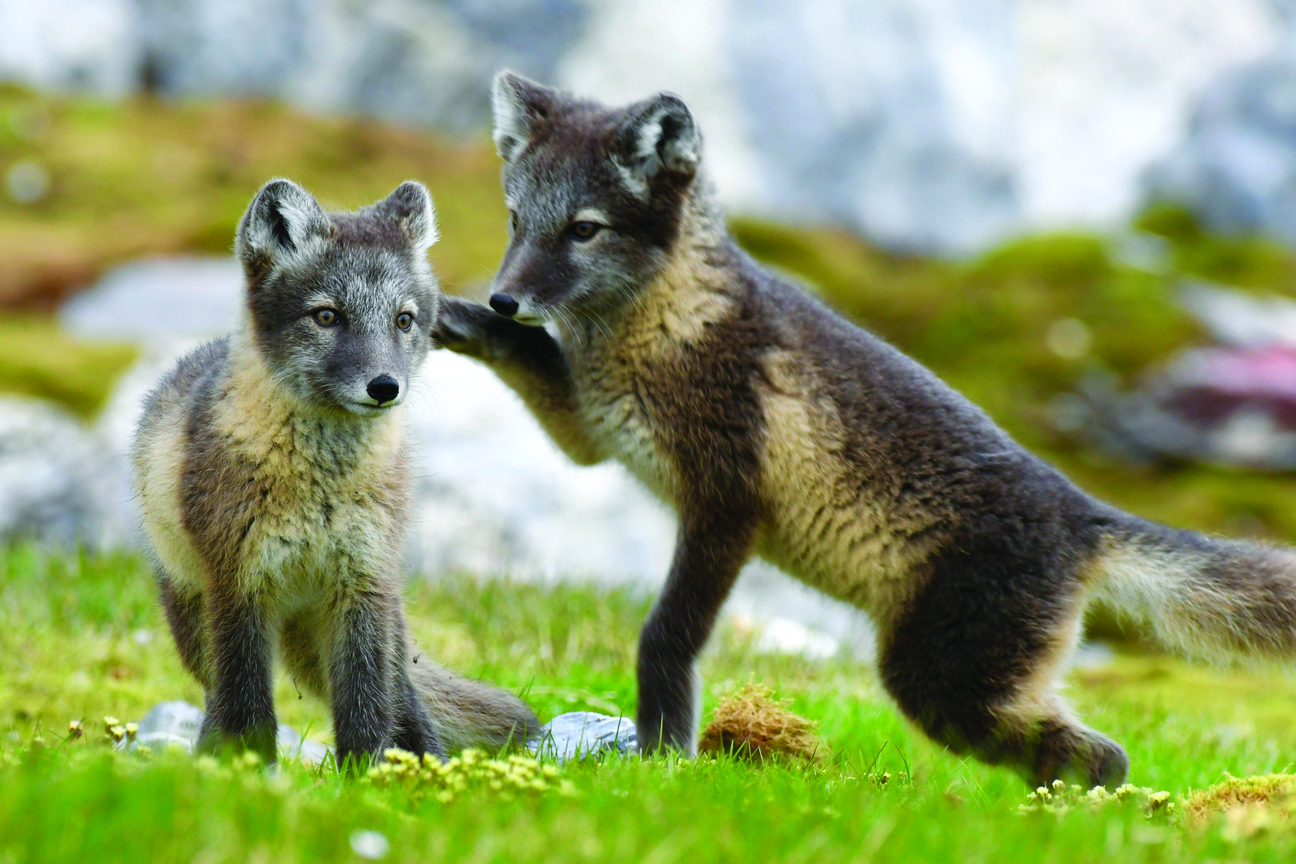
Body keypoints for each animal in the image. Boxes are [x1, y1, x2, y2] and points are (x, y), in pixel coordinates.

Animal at [133, 178, 538, 768]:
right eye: (327, 316)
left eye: (403, 320)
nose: (385, 387)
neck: (321, 487)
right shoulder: (240, 585)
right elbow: (246, 703)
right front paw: (247, 767)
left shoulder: (361, 583)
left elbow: (367, 703)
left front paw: (366, 772)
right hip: (199, 624)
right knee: (216, 693)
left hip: (374, 619)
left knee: (406, 699)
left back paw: (429, 764)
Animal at [431, 71, 1296, 789]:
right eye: (517, 218)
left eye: (584, 229)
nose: (505, 295)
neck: (658, 332)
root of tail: (1084, 513)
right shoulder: (590, 437)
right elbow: (527, 353)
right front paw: (452, 318)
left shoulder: (726, 504)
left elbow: (664, 637)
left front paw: (664, 760)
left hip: (940, 679)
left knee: (1105, 755)